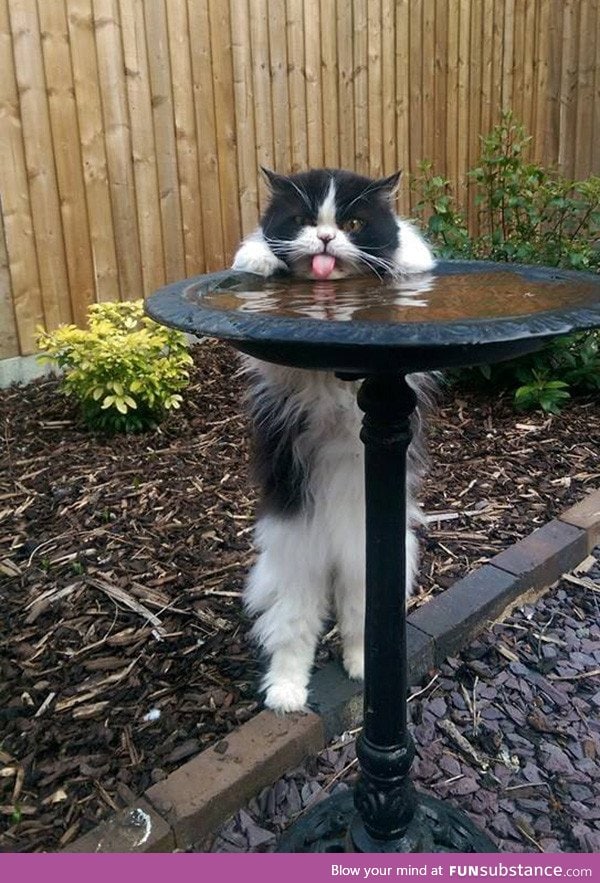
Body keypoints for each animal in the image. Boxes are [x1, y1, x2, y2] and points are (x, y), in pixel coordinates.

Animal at [231, 169, 436, 716]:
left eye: (353, 224)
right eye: (304, 221)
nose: (325, 239)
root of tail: (330, 555)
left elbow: (408, 256)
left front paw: (404, 257)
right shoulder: (282, 373)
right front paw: (259, 258)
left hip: (369, 566)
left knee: (361, 628)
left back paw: (361, 669)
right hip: (294, 565)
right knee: (293, 635)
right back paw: (285, 694)